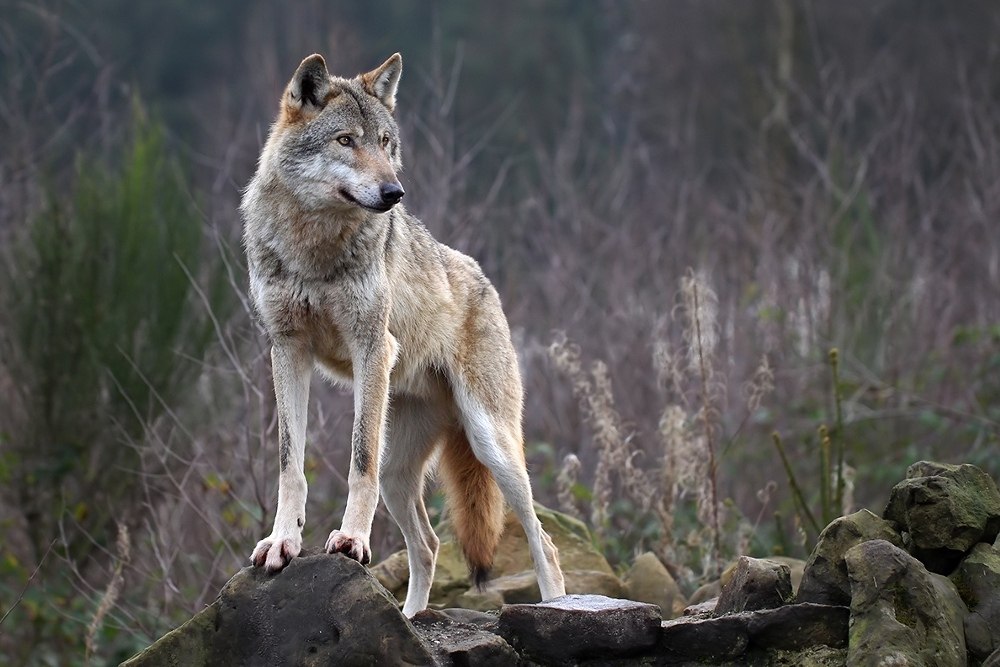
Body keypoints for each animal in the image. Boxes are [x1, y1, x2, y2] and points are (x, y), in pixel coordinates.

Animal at [236, 53, 564, 620]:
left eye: (386, 142)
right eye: (346, 140)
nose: (395, 194)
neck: (314, 245)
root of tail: (484, 279)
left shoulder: (372, 346)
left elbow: (357, 460)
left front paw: (350, 540)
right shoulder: (286, 350)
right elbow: (290, 465)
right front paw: (282, 543)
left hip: (491, 444)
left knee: (543, 541)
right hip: (401, 475)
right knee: (429, 545)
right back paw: (410, 618)